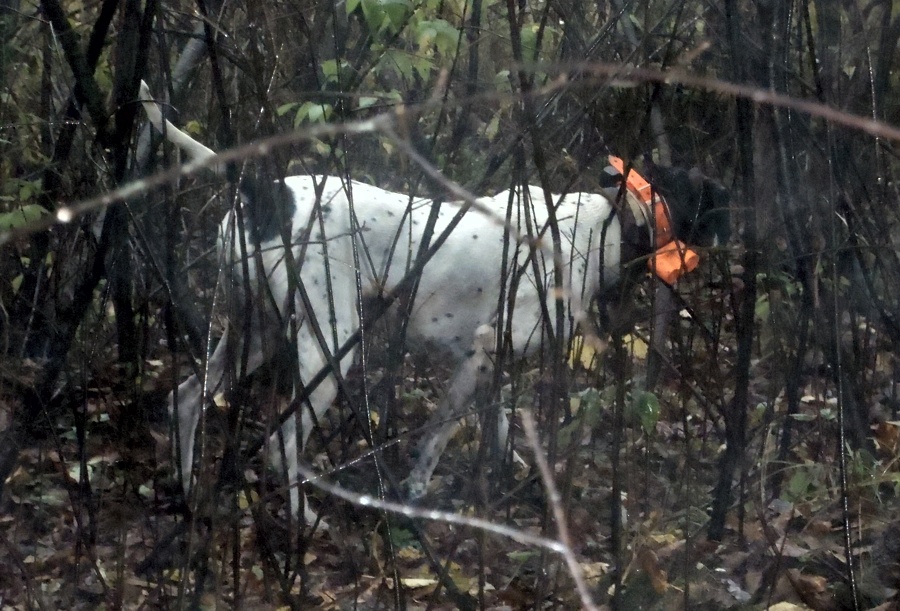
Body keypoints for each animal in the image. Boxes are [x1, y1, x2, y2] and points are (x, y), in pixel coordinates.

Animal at [141, 80, 732, 520]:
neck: (607, 223)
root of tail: (264, 192)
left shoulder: (486, 359)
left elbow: (501, 424)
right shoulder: (485, 350)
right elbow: (441, 433)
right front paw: (416, 494)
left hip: (253, 330)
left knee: (186, 398)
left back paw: (187, 489)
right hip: (328, 347)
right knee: (280, 442)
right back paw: (302, 519)